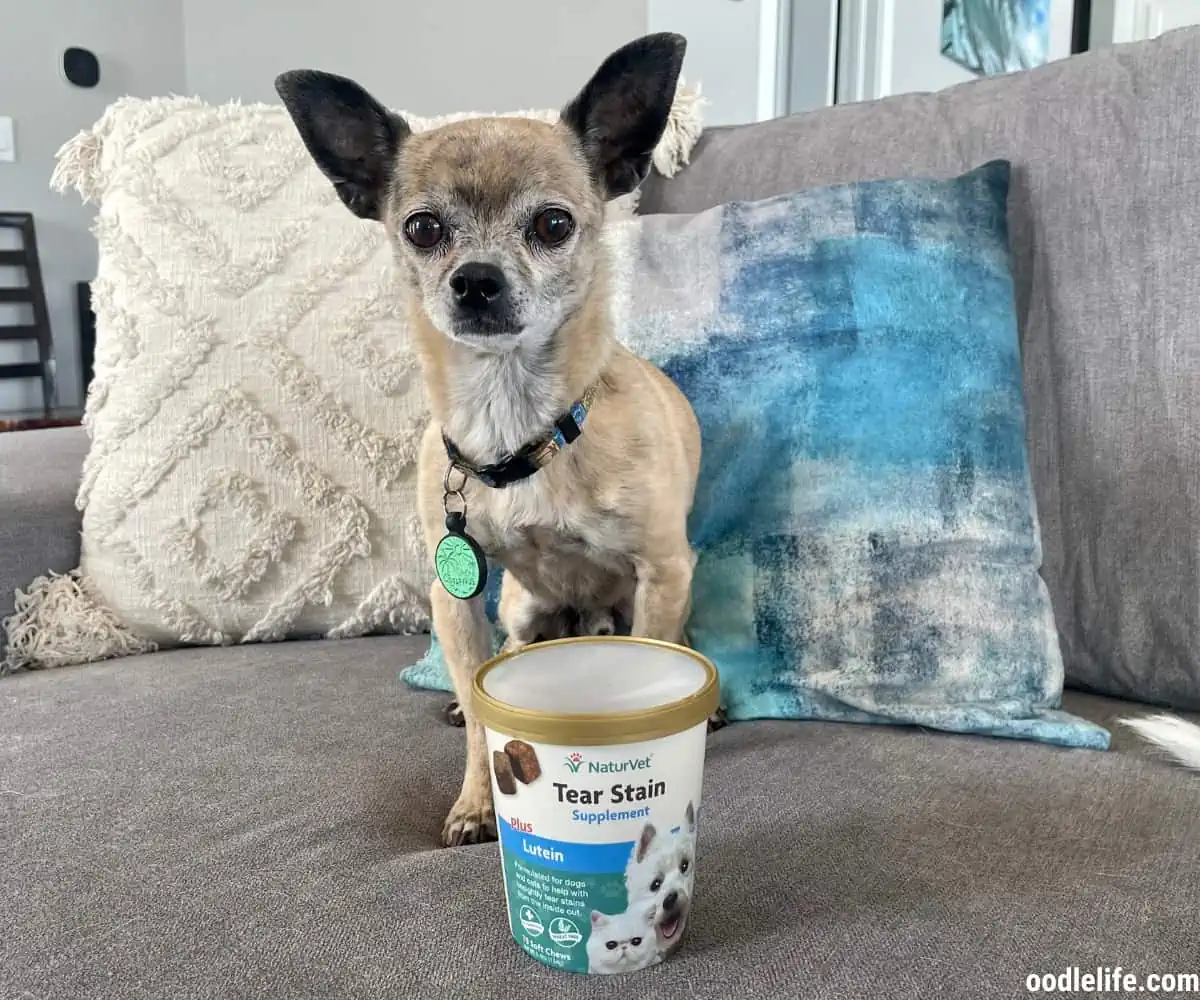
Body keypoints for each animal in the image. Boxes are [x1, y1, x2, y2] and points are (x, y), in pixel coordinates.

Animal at [274, 33, 700, 845]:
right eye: (422, 228)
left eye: (554, 225)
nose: (475, 280)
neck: (516, 423)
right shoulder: (456, 601)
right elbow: (481, 715)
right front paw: (478, 801)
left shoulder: (663, 572)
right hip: (522, 612)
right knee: (499, 665)